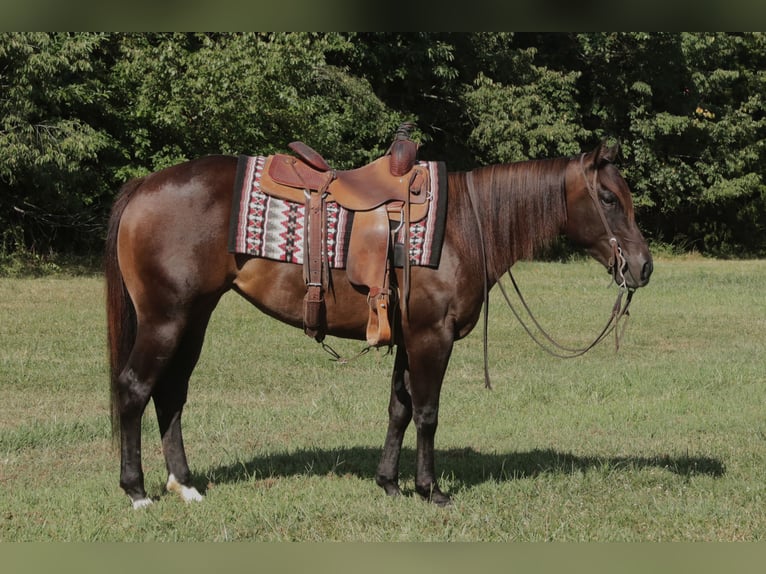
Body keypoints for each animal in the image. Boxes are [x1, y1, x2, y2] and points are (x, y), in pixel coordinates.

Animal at [105, 140, 653, 509]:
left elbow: (399, 408)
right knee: (134, 389)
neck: (462, 226)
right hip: (165, 319)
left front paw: (389, 482)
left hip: (194, 317)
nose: (644, 267)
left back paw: (185, 485)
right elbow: (428, 413)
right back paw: (136, 490)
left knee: (170, 394)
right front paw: (430, 490)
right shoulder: (433, 337)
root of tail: (144, 186)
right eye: (608, 199)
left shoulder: (409, 339)